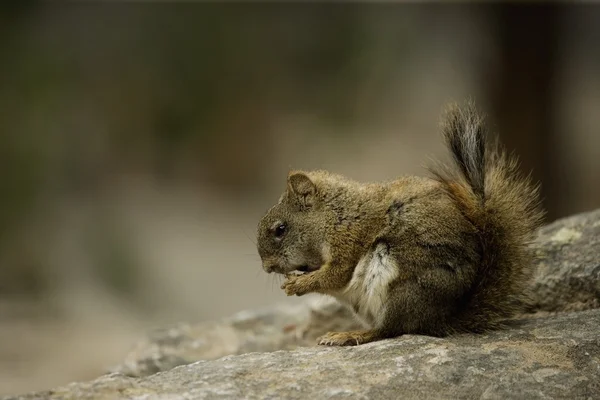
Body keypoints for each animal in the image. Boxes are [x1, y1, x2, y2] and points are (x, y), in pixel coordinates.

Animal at [255, 101, 548, 346]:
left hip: (402, 289)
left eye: (280, 229)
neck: (334, 215)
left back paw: (348, 335)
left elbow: (336, 275)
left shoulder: (348, 239)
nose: (267, 268)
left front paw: (298, 285)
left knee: (391, 330)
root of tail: (441, 319)